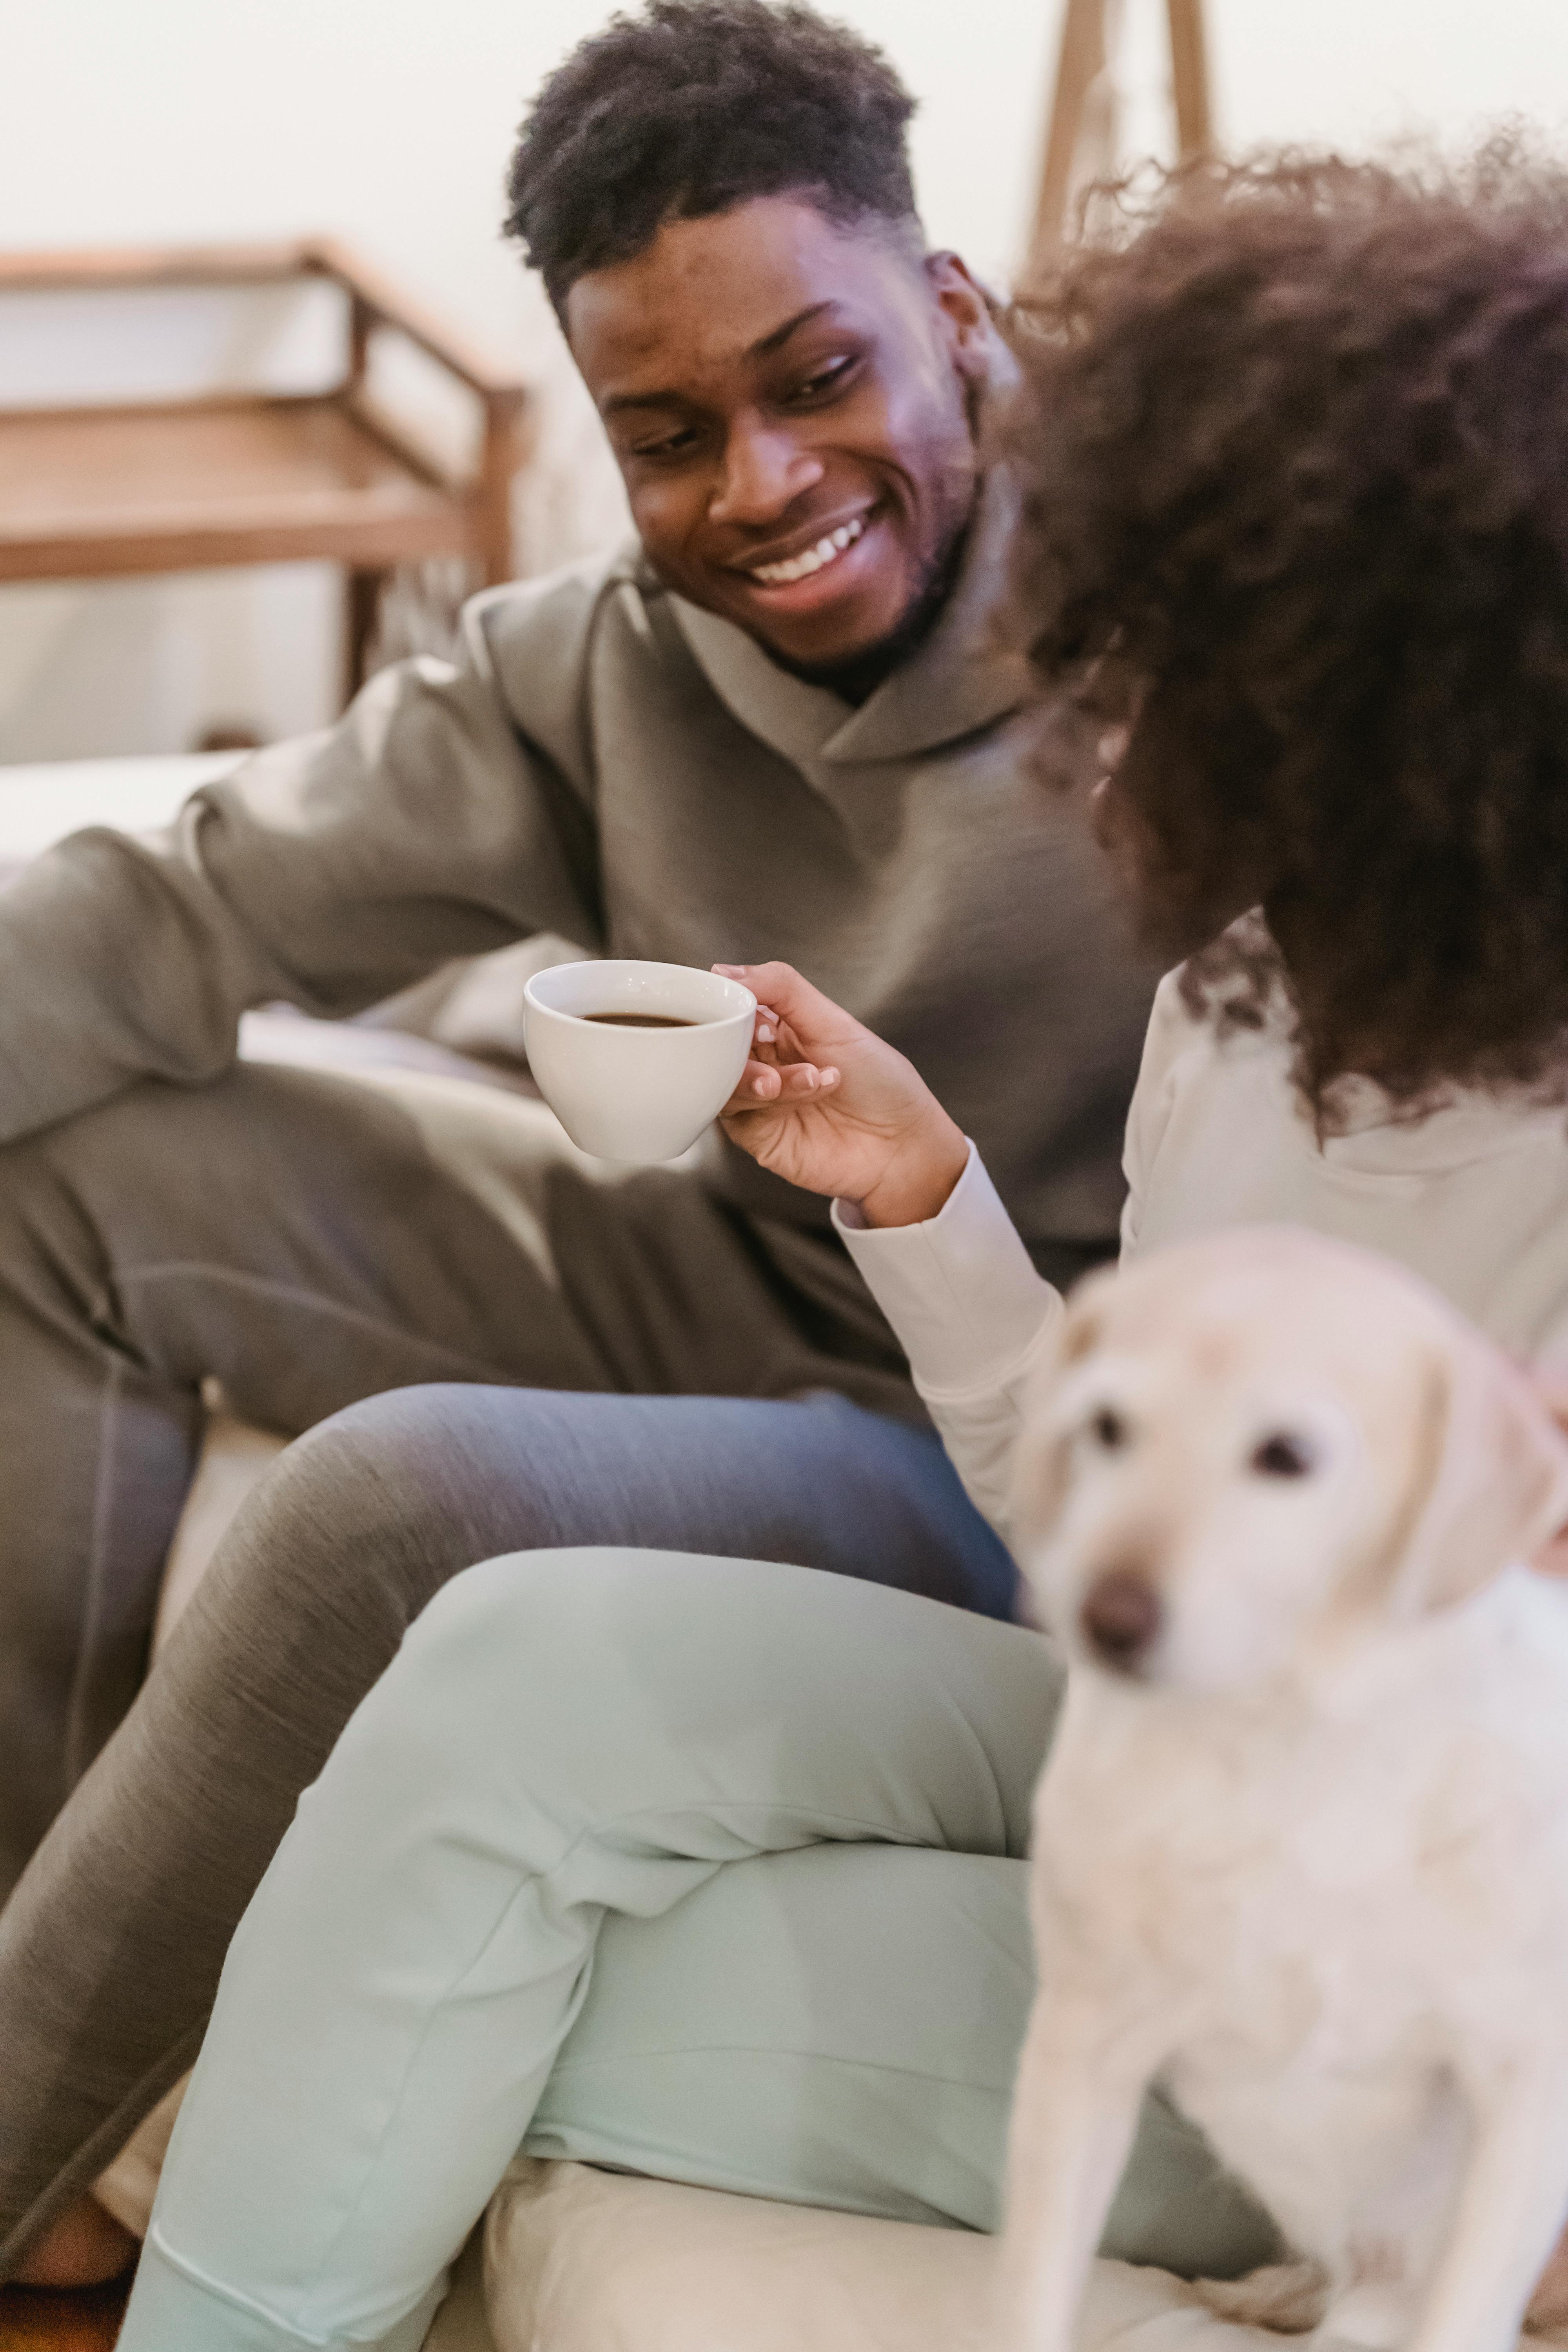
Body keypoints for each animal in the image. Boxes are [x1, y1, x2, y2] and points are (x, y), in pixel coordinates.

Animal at [1001, 1232, 1568, 2352]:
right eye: (1107, 1426)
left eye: (1287, 1456)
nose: (1102, 1618)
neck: (1288, 1746)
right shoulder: (1080, 2054)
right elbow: (1029, 2295)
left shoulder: (1522, 2092)